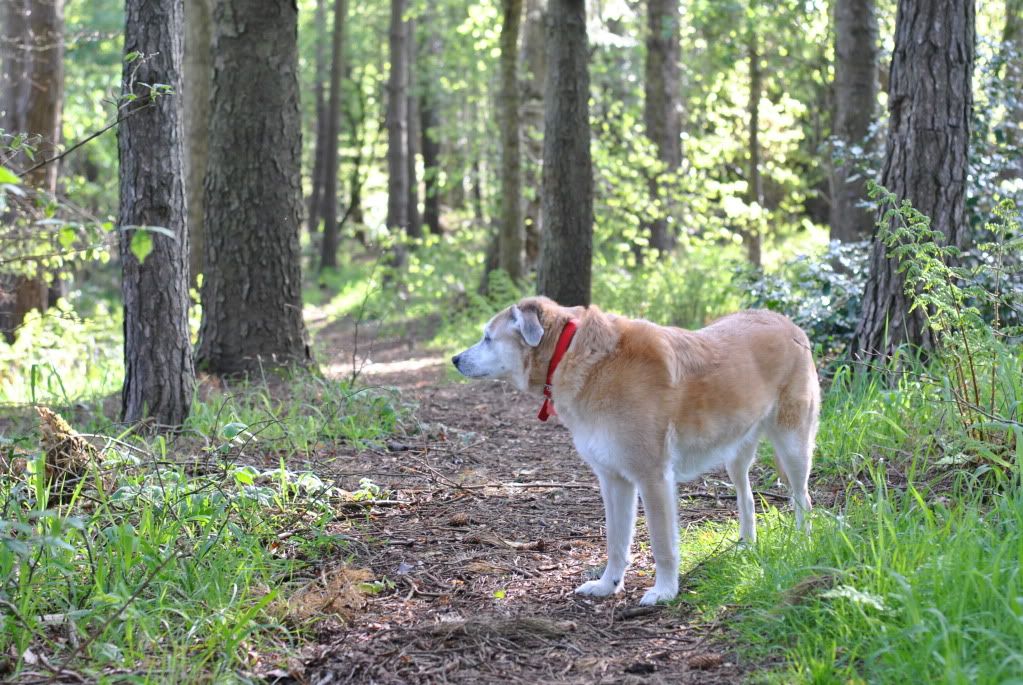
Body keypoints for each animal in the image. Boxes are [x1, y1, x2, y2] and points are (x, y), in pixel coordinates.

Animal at [452, 294, 818, 605]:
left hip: (793, 445)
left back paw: (803, 541)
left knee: (803, 498)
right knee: (747, 497)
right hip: (736, 454)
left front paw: (665, 591)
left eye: (487, 337)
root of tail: (787, 323)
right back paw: (746, 546)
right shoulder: (614, 480)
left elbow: (662, 544)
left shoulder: (652, 478)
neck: (576, 354)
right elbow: (616, 542)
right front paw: (607, 585)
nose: (454, 359)